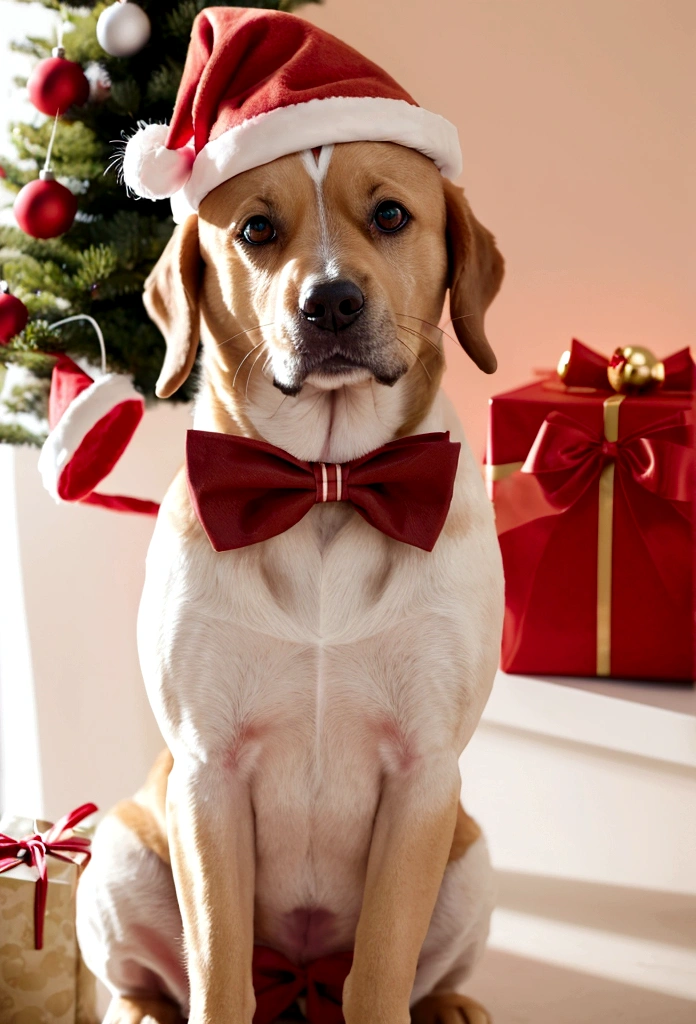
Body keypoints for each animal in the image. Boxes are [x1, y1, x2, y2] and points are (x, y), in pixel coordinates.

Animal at [77, 138, 505, 1024]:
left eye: (391, 214)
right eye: (256, 229)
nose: (331, 303)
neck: (324, 488)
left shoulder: (423, 774)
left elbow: (380, 972)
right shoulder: (207, 773)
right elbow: (217, 972)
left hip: (470, 858)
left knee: (428, 974)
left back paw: (450, 1004)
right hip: (123, 853)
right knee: (145, 978)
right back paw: (139, 1009)